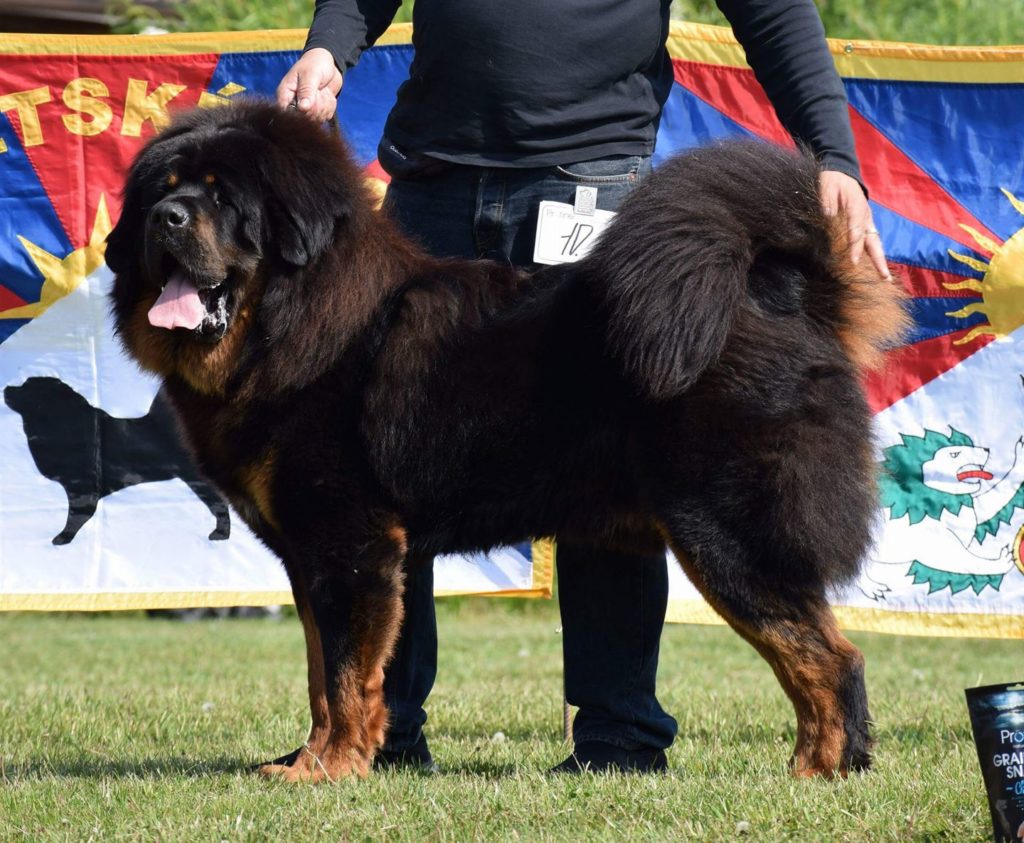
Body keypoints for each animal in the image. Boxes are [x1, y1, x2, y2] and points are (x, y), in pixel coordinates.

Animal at [4, 376, 230, 549]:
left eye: (27, 388)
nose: (6, 388)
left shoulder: (82, 487)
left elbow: (76, 516)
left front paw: (63, 537)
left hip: (197, 479)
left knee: (220, 504)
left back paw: (221, 533)